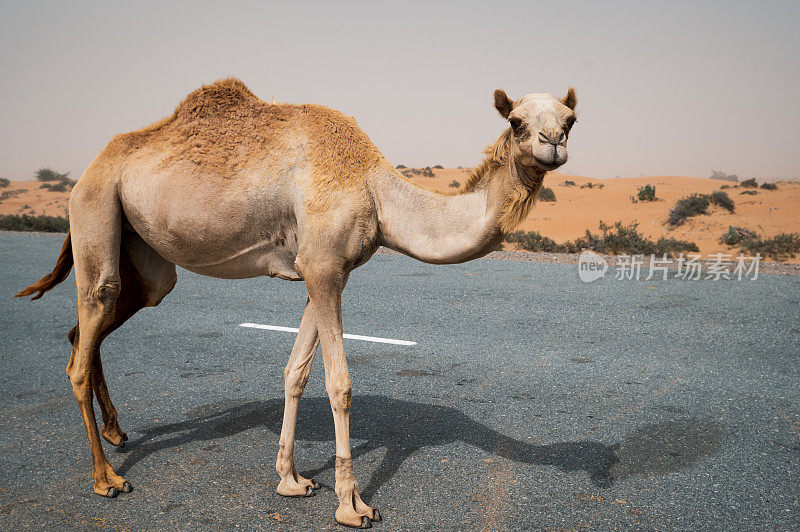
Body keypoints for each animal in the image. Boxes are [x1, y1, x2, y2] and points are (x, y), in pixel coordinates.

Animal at [17, 79, 576, 528]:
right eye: (517, 122)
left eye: (570, 120)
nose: (552, 144)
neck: (375, 191)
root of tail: (88, 169)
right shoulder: (324, 267)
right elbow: (339, 383)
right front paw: (352, 505)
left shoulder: (324, 270)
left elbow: (296, 372)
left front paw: (291, 479)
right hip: (95, 208)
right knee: (90, 324)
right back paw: (106, 478)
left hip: (145, 257)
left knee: (91, 329)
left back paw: (116, 432)